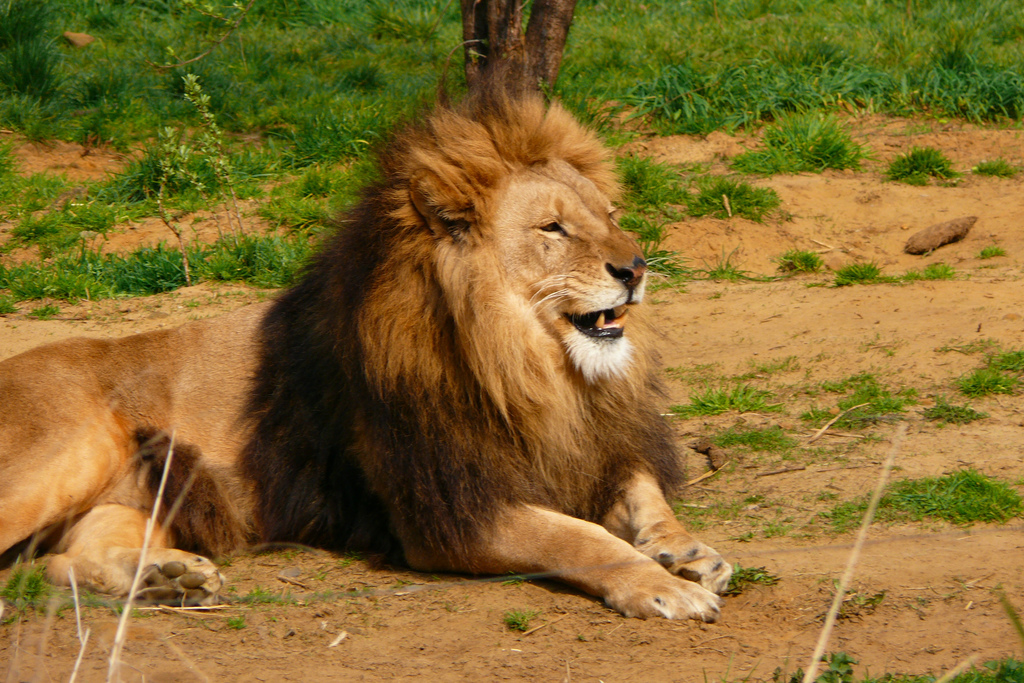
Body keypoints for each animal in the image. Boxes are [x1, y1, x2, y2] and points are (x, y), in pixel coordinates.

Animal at [2, 83, 737, 618]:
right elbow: (577, 536)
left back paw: (168, 579)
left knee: (59, 562)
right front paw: (660, 585)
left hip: (129, 501)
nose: (636, 267)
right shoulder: (444, 510)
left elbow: (644, 494)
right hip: (63, 455)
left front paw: (687, 552)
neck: (532, 368)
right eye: (552, 227)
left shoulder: (592, 443)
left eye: (609, 215)